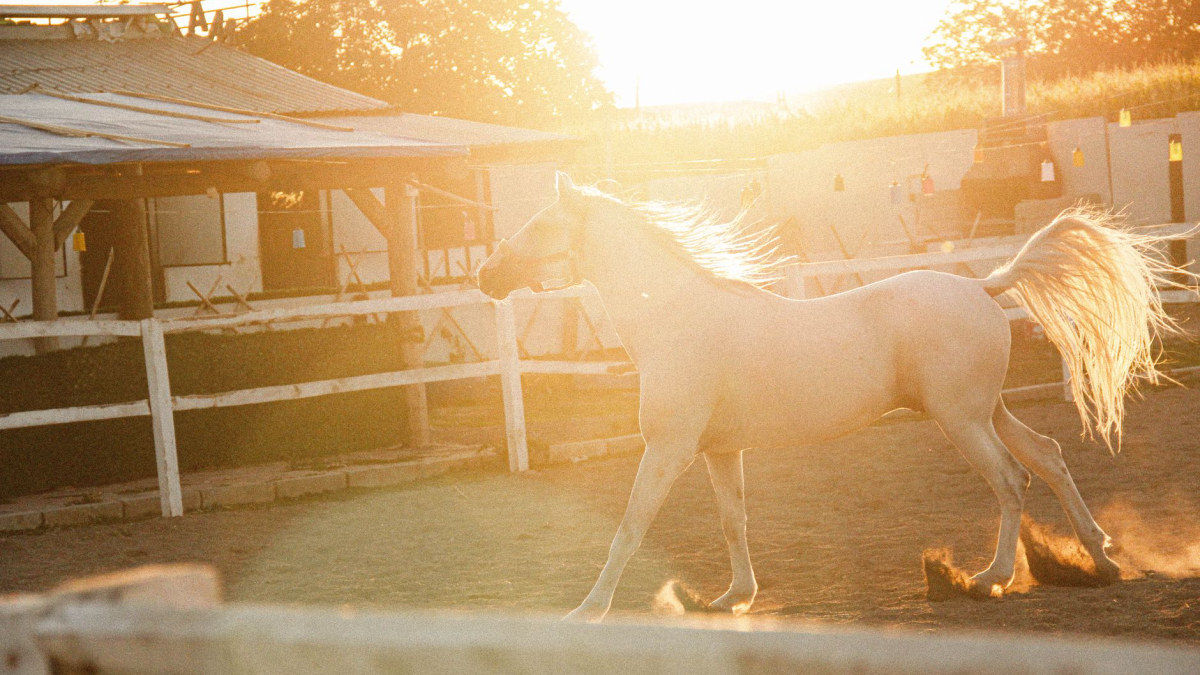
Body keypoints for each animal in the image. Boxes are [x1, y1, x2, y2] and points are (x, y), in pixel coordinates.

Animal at [477, 172, 1190, 622]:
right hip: (989, 410)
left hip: (961, 420)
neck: (675, 319)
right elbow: (734, 522)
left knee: (1012, 480)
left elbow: (628, 527)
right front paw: (733, 598)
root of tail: (984, 285)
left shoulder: (669, 449)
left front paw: (588, 608)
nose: (485, 275)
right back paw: (1099, 558)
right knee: (1049, 455)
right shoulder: (718, 451)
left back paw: (988, 579)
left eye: (540, 224)